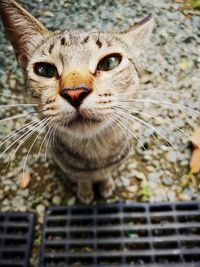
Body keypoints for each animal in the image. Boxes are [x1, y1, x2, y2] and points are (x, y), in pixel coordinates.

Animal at [0, 0, 154, 204]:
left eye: (110, 62)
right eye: (44, 70)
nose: (74, 92)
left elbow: (106, 175)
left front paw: (106, 185)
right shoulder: (71, 168)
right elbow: (83, 180)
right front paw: (86, 193)